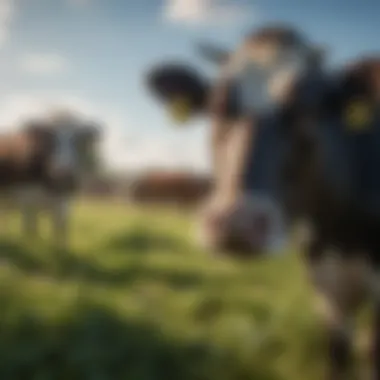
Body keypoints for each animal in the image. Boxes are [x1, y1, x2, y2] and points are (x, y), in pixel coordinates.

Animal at [0, 108, 101, 248]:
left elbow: (61, 226)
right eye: (48, 137)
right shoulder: (26, 199)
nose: (63, 176)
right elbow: (30, 227)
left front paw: (61, 248)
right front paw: (31, 244)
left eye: (80, 139)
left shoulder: (64, 201)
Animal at [147, 25, 380, 378]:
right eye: (217, 107)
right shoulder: (328, 293)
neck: (341, 232)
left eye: (307, 111)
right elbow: (337, 357)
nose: (237, 223)